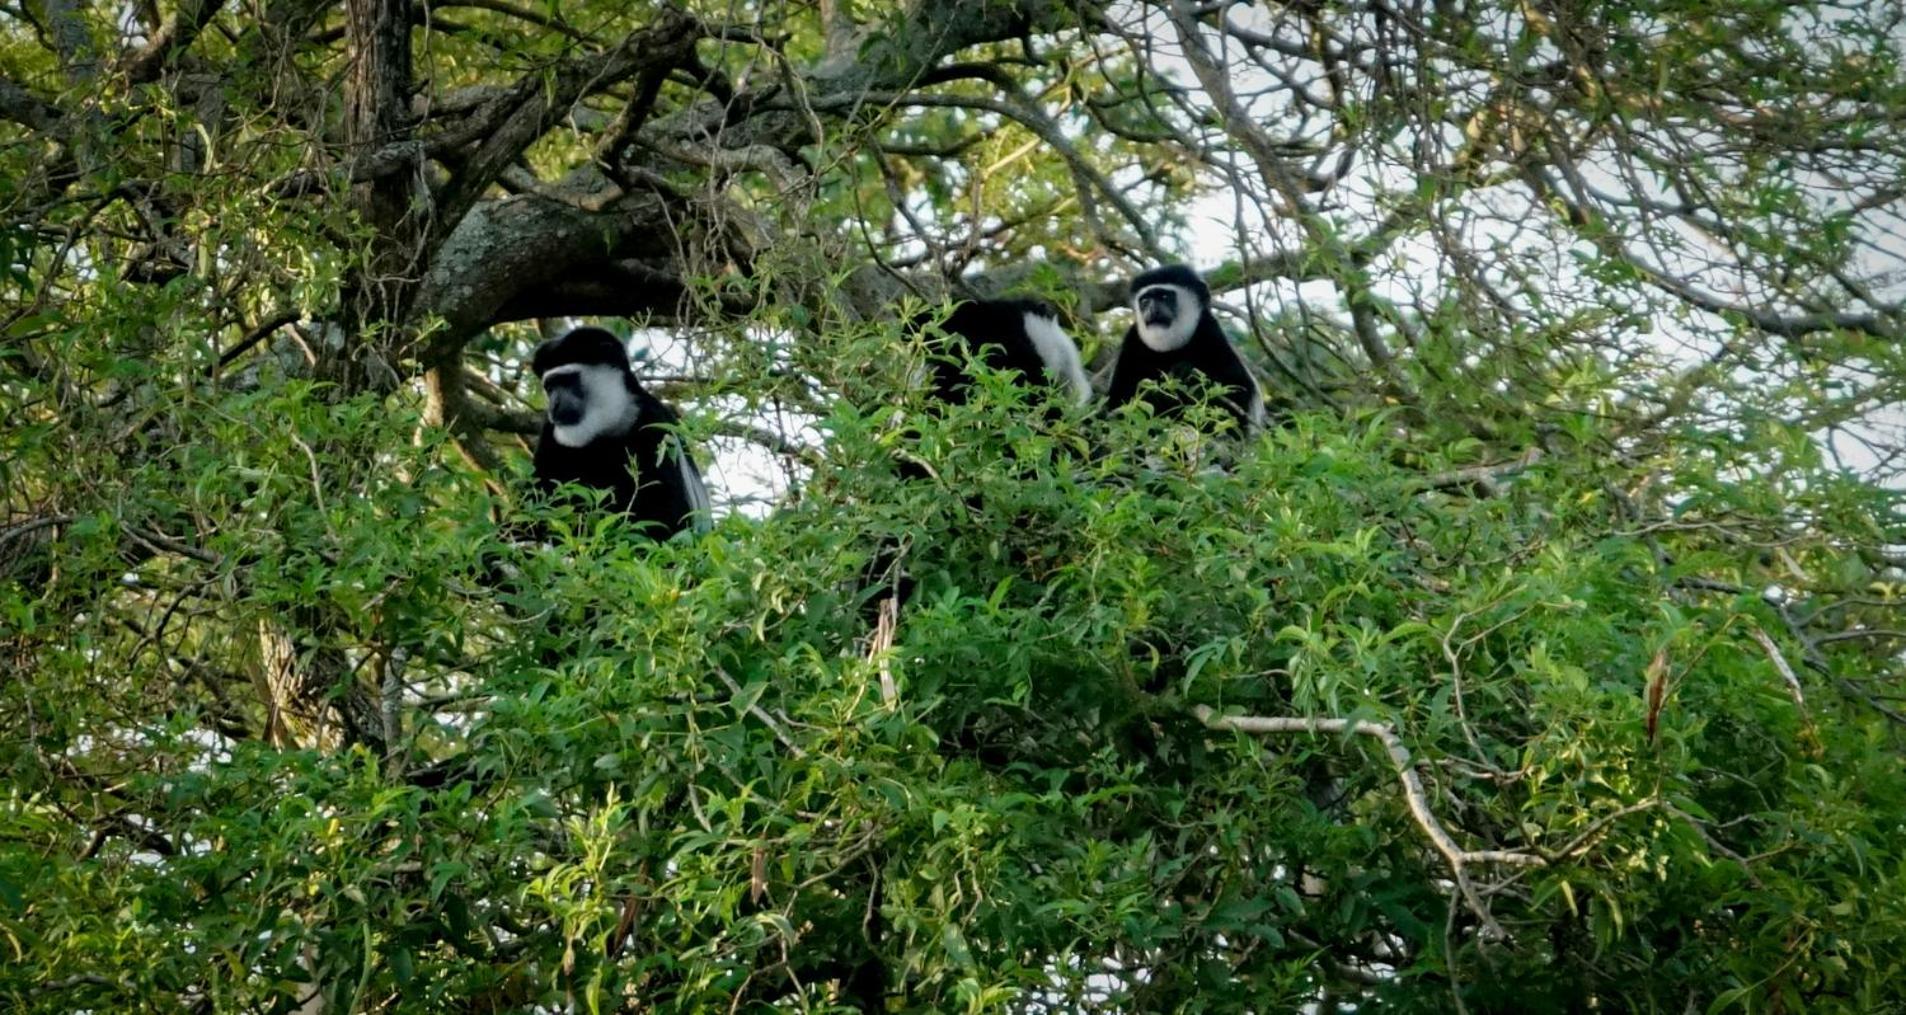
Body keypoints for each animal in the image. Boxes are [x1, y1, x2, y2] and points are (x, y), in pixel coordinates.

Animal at [529, 327, 709, 540]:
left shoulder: (655, 426)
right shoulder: (549, 431)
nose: (553, 406)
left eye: (567, 381)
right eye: (549, 388)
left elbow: (668, 516)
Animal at [1105, 262, 1265, 434]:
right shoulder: (1131, 343)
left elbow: (1238, 389)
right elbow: (1118, 401)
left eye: (1165, 296)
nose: (1151, 309)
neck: (1168, 349)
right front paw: (1158, 394)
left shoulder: (1211, 333)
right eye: (1145, 301)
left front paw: (1185, 371)